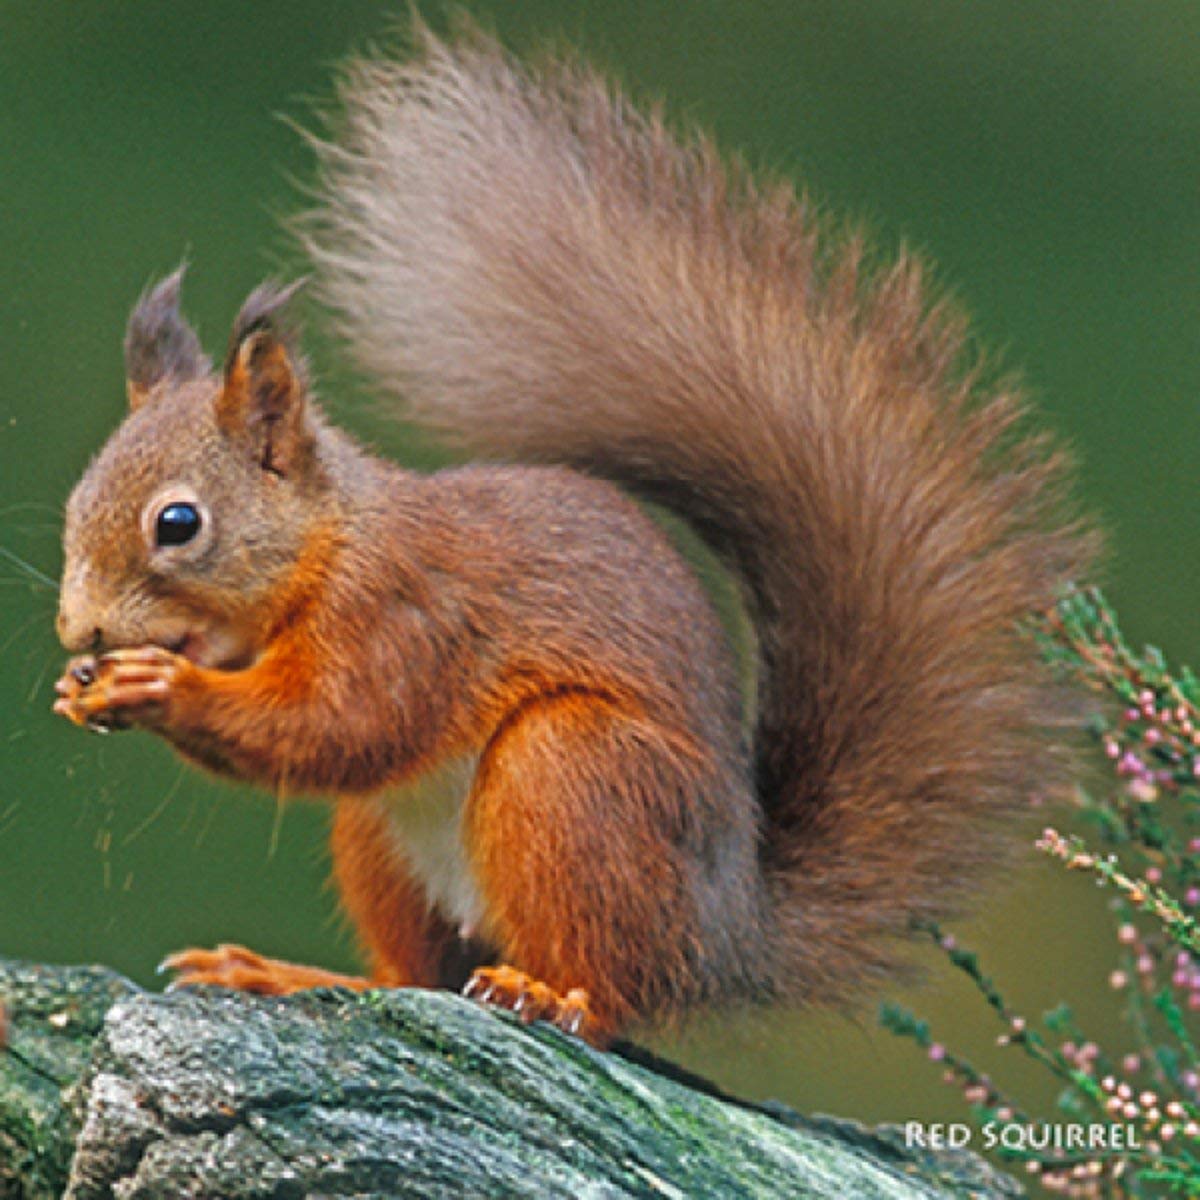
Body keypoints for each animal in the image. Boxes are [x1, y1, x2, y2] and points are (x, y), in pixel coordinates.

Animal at [52, 29, 1094, 1046]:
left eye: (178, 524)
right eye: (73, 506)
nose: (78, 632)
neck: (328, 545)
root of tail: (726, 936)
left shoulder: (407, 616)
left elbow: (337, 725)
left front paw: (161, 686)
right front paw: (83, 689)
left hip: (574, 776)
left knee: (613, 988)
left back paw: (557, 998)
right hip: (383, 842)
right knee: (412, 974)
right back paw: (289, 975)